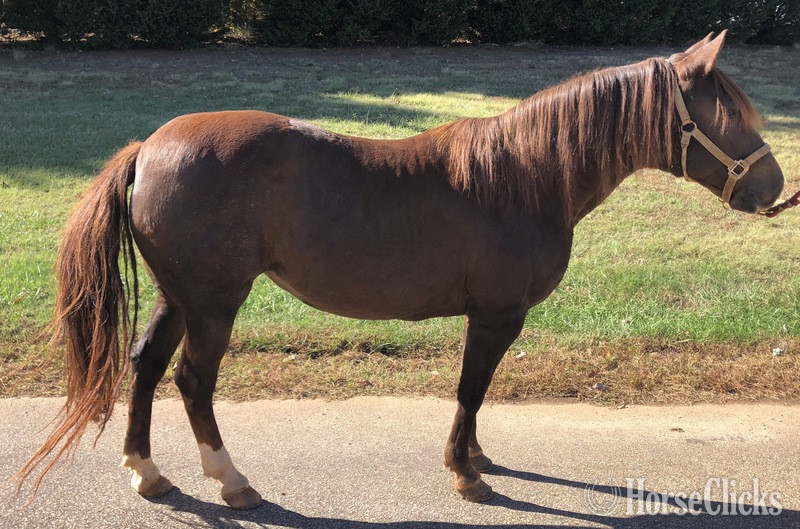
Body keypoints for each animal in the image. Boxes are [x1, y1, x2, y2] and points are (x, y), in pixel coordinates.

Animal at [20, 31, 784, 509]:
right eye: (729, 113)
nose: (775, 187)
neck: (527, 176)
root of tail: (150, 147)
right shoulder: (497, 314)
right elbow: (471, 388)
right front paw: (465, 473)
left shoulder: (491, 316)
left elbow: (478, 392)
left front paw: (476, 457)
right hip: (213, 303)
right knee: (192, 381)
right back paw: (231, 481)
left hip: (177, 297)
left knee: (147, 366)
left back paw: (146, 471)